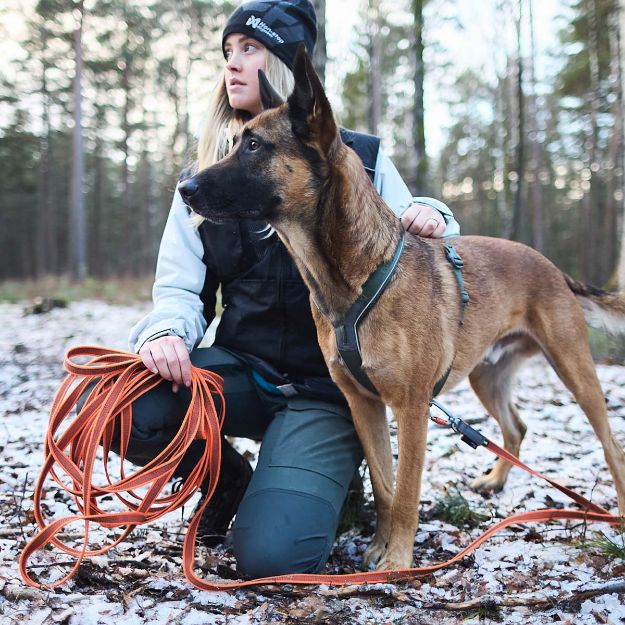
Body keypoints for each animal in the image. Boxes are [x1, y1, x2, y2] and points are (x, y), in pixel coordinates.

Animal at [178, 46, 624, 568]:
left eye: (253, 146)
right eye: (235, 143)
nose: (184, 189)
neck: (354, 278)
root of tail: (552, 266)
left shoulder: (411, 409)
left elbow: (407, 491)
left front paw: (397, 564)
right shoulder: (364, 405)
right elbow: (384, 486)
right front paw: (378, 548)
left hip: (575, 369)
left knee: (610, 445)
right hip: (487, 376)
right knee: (516, 427)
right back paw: (495, 481)